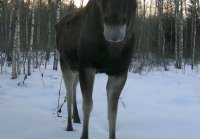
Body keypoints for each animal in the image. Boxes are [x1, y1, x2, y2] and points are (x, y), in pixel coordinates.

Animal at [55, 0, 137, 139]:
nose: (114, 30)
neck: (112, 50)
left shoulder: (120, 72)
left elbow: (113, 112)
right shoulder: (87, 65)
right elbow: (87, 106)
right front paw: (84, 136)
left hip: (76, 68)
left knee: (74, 88)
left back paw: (76, 118)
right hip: (65, 63)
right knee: (69, 93)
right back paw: (69, 125)